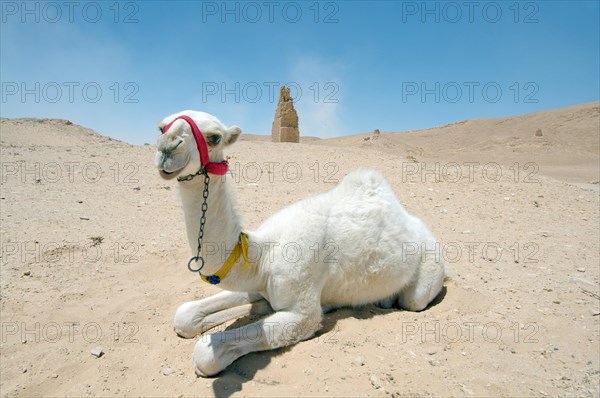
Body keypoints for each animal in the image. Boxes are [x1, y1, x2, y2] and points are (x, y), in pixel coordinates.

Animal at [155, 111, 446, 376]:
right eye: (161, 126)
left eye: (214, 137)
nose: (167, 148)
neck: (263, 256)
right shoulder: (257, 285)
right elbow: (184, 315)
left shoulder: (302, 313)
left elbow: (205, 354)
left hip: (427, 272)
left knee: (414, 299)